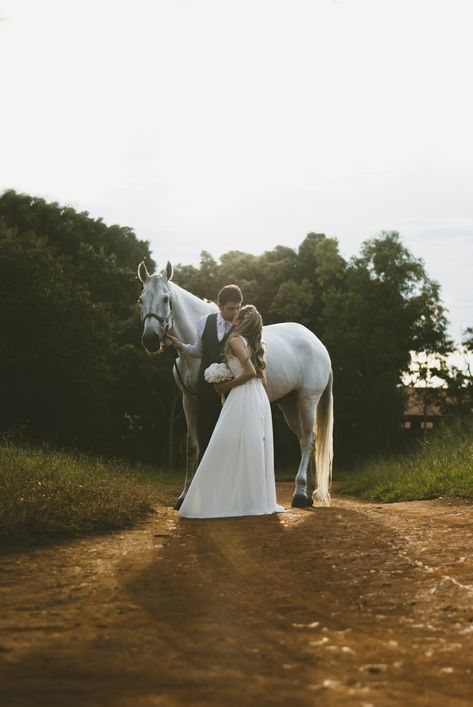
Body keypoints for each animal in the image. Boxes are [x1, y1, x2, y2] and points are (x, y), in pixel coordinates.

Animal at [138, 260, 334, 508]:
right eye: (141, 299)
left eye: (166, 299)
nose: (151, 340)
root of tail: (317, 343)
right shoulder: (188, 400)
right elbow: (192, 447)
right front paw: (184, 497)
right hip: (289, 404)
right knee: (305, 440)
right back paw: (307, 493)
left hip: (307, 400)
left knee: (308, 440)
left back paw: (299, 494)